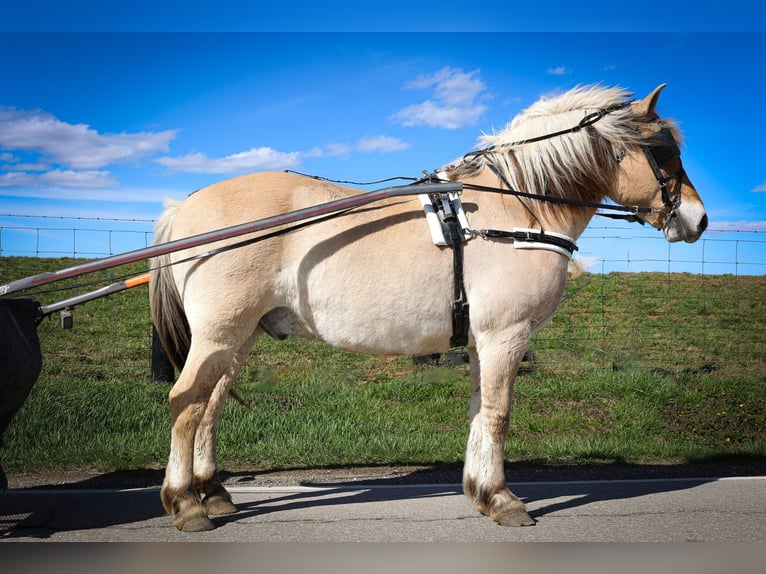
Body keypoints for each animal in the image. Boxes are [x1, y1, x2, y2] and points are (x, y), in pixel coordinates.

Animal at [152, 83, 712, 532]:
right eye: (662, 151)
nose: (699, 218)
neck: (517, 207)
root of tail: (185, 204)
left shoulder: (482, 342)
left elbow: (479, 412)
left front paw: (481, 492)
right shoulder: (507, 335)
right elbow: (499, 414)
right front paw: (503, 499)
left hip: (238, 338)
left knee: (209, 407)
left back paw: (213, 493)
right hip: (220, 334)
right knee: (185, 403)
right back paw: (186, 503)